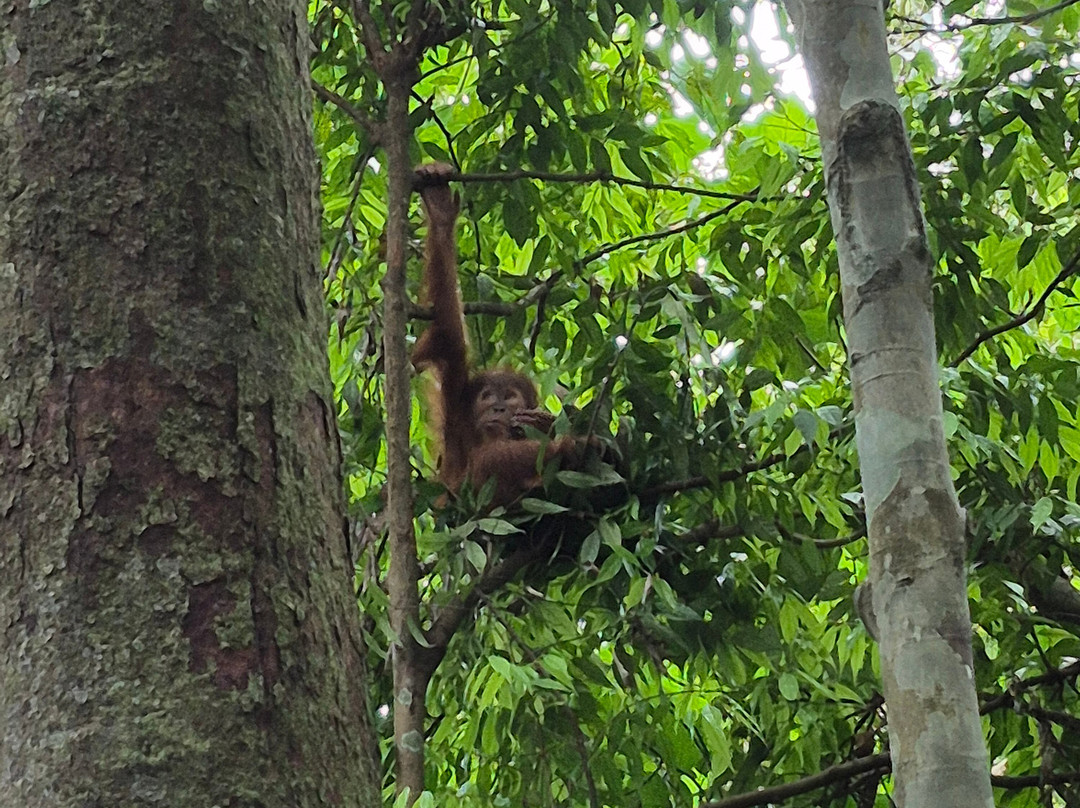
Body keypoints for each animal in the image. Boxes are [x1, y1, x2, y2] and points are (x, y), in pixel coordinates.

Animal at [411, 162, 585, 508]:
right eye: (488, 396)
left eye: (510, 397)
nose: (499, 409)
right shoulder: (456, 408)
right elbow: (449, 329)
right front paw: (439, 207)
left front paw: (548, 429)